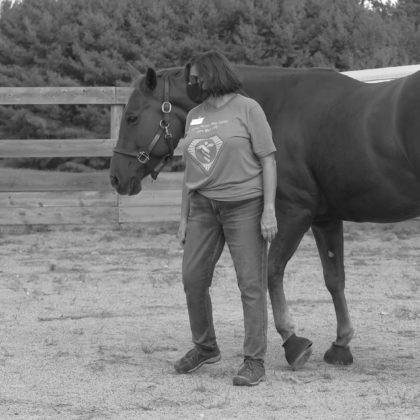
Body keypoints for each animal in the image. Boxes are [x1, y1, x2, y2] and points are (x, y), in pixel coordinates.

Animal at [109, 65, 420, 368]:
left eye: (132, 117)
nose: (116, 177)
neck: (277, 106)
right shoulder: (325, 219)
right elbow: (334, 278)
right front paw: (340, 345)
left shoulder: (294, 213)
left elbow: (271, 272)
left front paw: (292, 342)